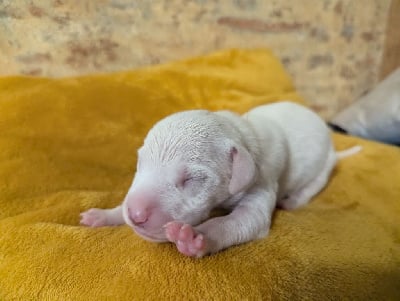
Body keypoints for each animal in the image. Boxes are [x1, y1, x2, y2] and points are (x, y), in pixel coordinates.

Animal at [79, 102, 360, 256]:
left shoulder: (262, 181)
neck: (242, 131)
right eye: (139, 164)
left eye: (192, 178)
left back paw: (293, 200)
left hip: (323, 167)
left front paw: (196, 237)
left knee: (314, 185)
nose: (136, 215)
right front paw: (104, 215)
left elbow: (243, 220)